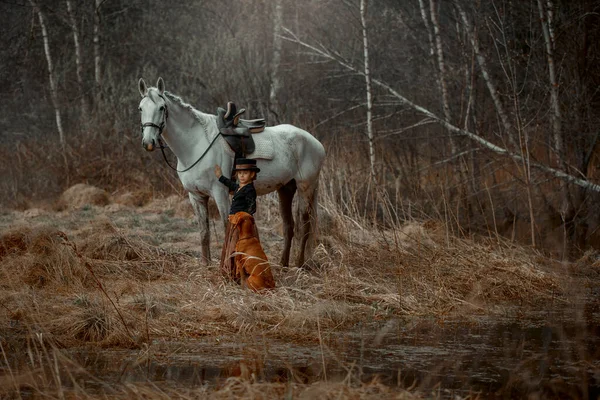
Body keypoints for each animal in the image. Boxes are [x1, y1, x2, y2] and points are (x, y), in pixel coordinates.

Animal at [138, 76, 326, 268]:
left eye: (162, 107)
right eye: (141, 108)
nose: (148, 142)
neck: (197, 144)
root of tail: (315, 142)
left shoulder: (219, 193)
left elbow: (226, 229)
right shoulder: (196, 196)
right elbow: (204, 233)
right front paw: (206, 265)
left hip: (305, 188)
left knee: (304, 224)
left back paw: (299, 264)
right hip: (286, 189)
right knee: (289, 226)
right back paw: (283, 265)